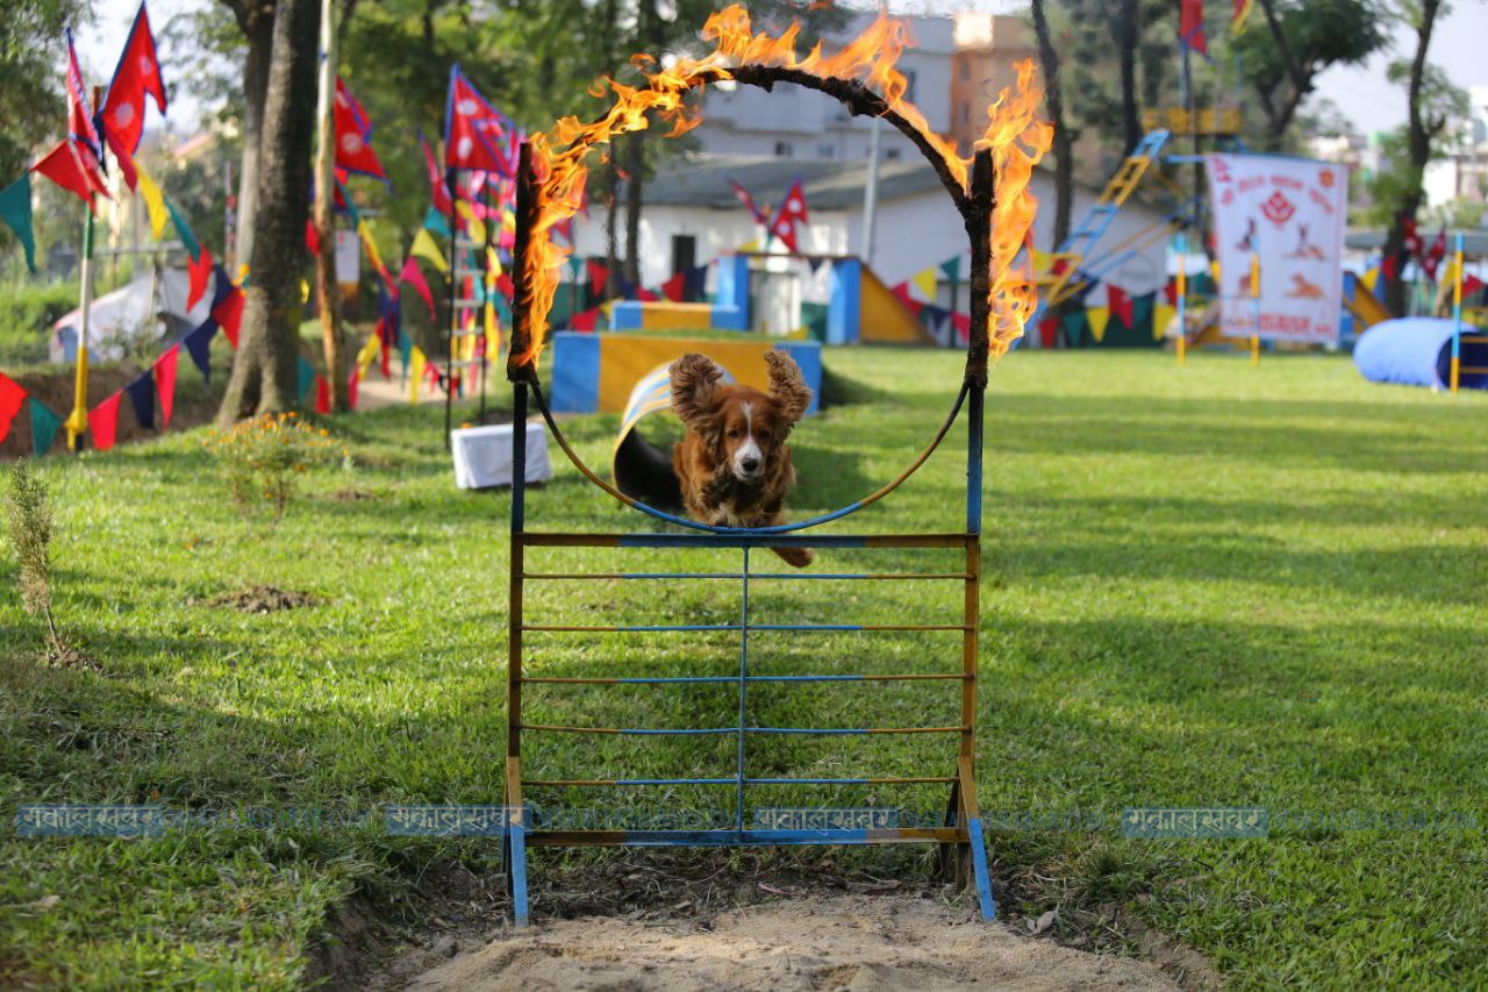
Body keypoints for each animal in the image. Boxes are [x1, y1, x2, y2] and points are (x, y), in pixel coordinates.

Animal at [672, 349, 815, 565]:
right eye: (732, 433)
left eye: (764, 433)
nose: (750, 464)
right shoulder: (699, 470)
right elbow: (706, 485)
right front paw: (721, 478)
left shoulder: (777, 467)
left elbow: (764, 490)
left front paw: (755, 486)